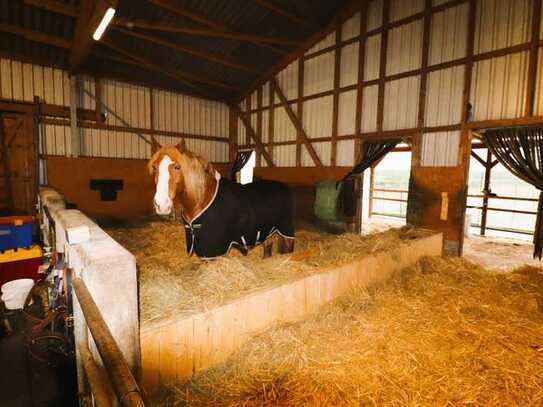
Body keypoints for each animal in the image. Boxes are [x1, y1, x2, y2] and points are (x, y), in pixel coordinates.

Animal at [147, 137, 296, 258]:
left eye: (177, 167)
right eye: (154, 167)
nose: (161, 205)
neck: (202, 199)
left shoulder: (214, 249)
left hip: (286, 229)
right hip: (268, 231)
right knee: (268, 249)